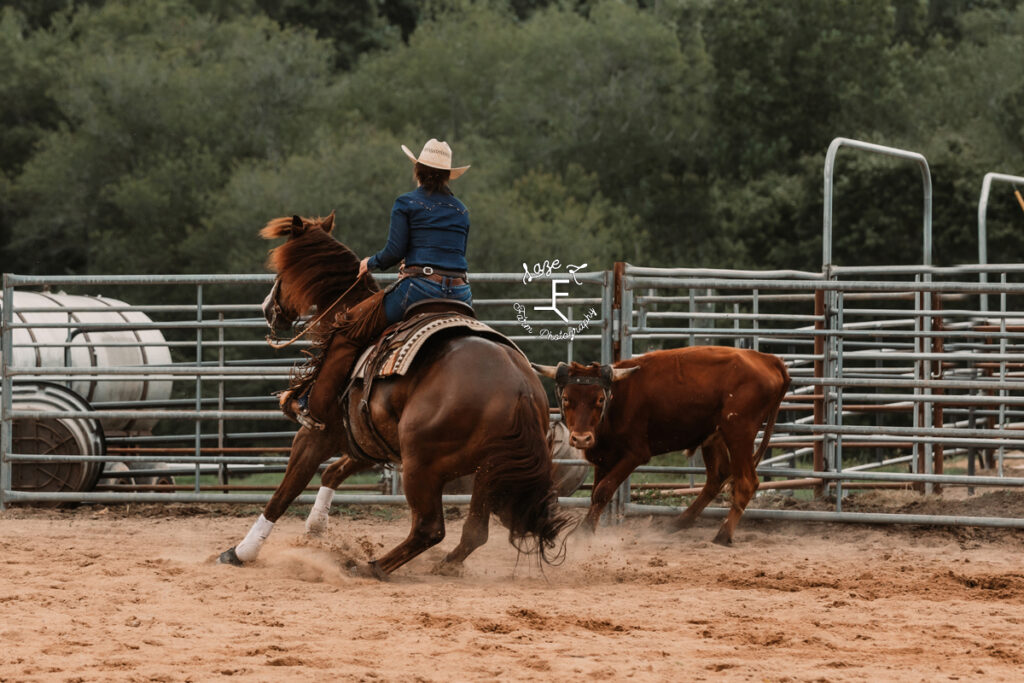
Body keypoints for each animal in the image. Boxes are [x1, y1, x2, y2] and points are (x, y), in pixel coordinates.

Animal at [218, 214, 569, 577]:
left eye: (281, 273)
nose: (267, 308)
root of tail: (519, 388)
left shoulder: (316, 435)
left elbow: (286, 490)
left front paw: (241, 552)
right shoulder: (365, 441)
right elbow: (333, 472)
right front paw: (315, 526)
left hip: (422, 465)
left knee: (429, 528)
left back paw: (368, 567)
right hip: (487, 469)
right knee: (474, 531)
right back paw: (441, 566)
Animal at [536, 348, 790, 544]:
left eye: (599, 399)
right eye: (566, 398)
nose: (581, 439)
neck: (617, 401)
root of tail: (768, 359)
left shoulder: (635, 454)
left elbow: (603, 491)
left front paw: (583, 533)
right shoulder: (603, 456)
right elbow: (596, 494)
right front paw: (588, 528)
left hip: (739, 432)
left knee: (746, 482)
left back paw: (723, 535)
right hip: (714, 436)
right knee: (717, 477)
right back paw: (677, 523)